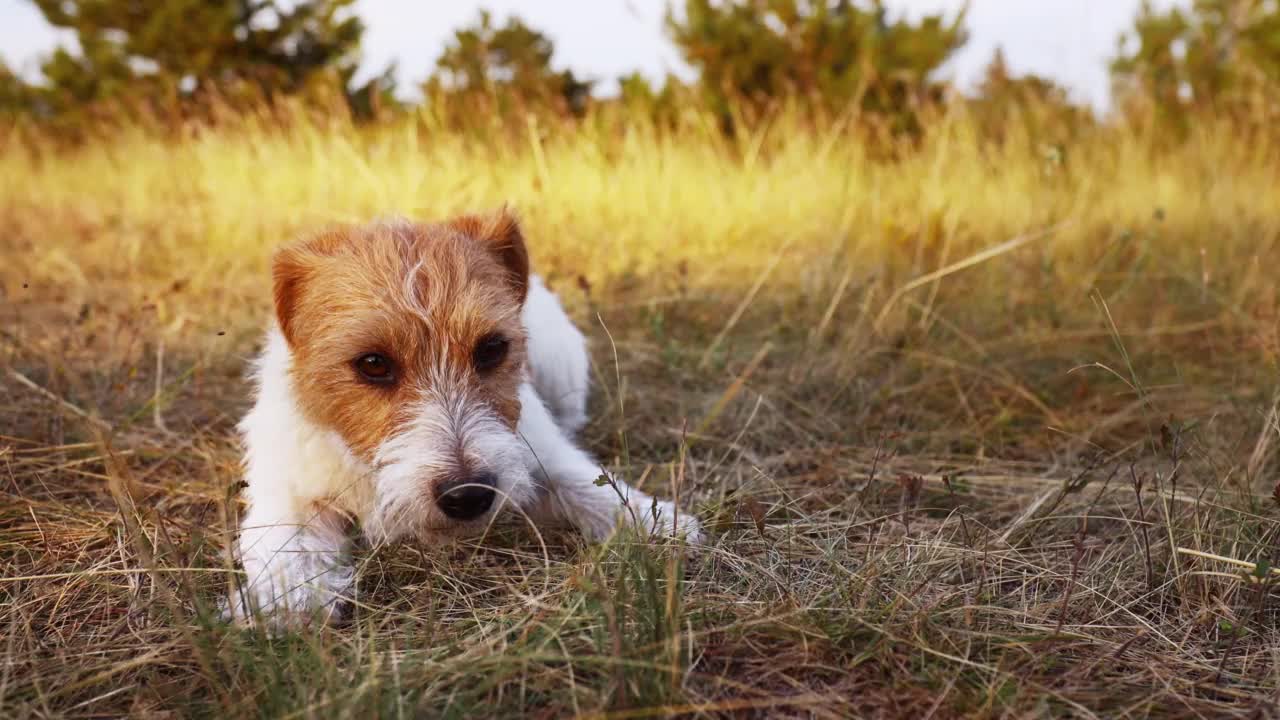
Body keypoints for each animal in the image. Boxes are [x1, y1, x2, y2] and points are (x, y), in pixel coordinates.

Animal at [230, 207, 706, 622]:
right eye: (373, 363)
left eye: (492, 348)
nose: (469, 495)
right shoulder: (288, 486)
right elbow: (286, 541)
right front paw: (283, 603)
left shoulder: (536, 452)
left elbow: (590, 487)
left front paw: (660, 527)